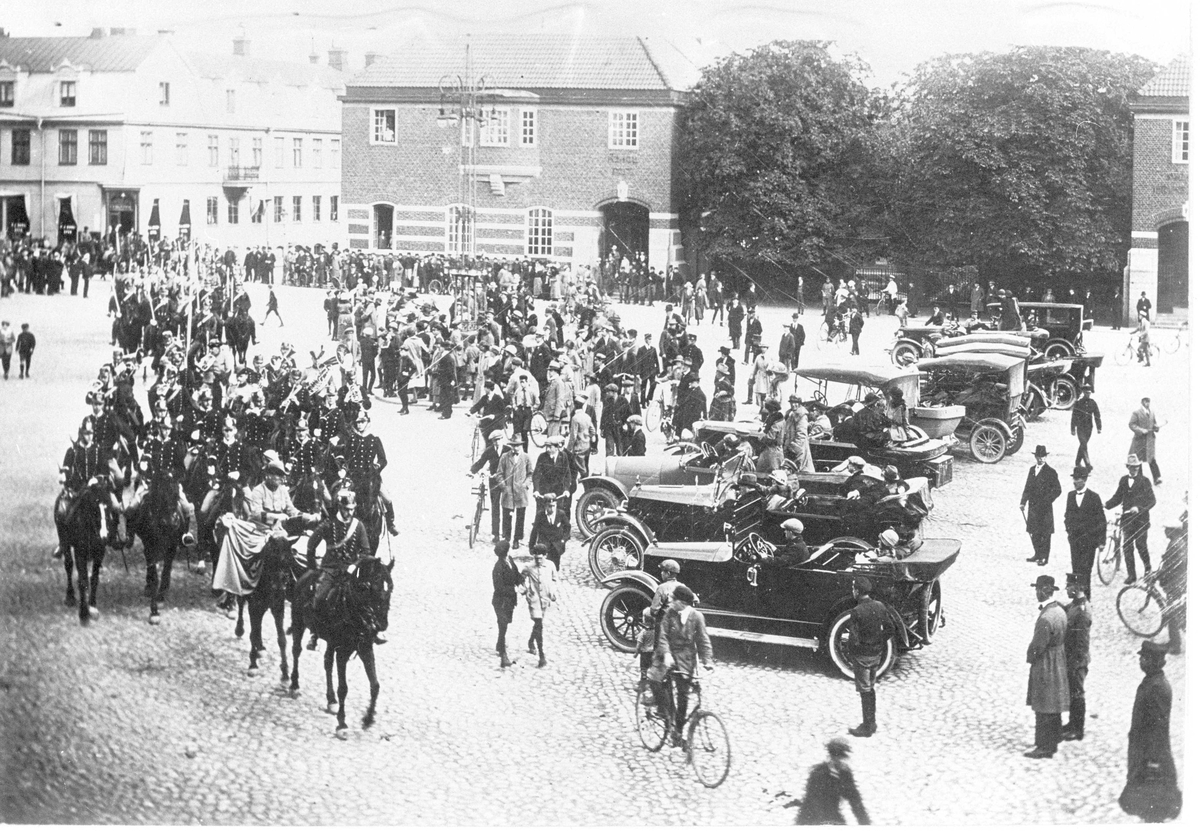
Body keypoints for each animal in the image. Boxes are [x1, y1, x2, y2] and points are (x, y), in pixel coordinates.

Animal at [53, 482, 108, 624]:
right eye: (94, 508)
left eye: (108, 508)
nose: (104, 536)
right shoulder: (80, 553)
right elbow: (83, 581)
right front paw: (84, 613)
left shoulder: (100, 553)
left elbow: (94, 578)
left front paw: (93, 606)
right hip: (65, 542)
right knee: (68, 565)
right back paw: (70, 597)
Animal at [125, 473, 186, 624]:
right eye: (161, 495)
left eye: (177, 494)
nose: (172, 522)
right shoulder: (150, 548)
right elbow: (154, 576)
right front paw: (154, 612)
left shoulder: (172, 548)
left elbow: (165, 571)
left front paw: (161, 596)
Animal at [288, 557, 391, 734]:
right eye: (368, 587)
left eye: (390, 587)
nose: (381, 625)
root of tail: (309, 572)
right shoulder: (342, 653)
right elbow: (343, 688)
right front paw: (342, 724)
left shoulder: (365, 649)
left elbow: (375, 685)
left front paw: (368, 718)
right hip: (298, 622)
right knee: (296, 651)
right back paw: (294, 685)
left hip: (330, 642)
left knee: (327, 662)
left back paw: (331, 700)